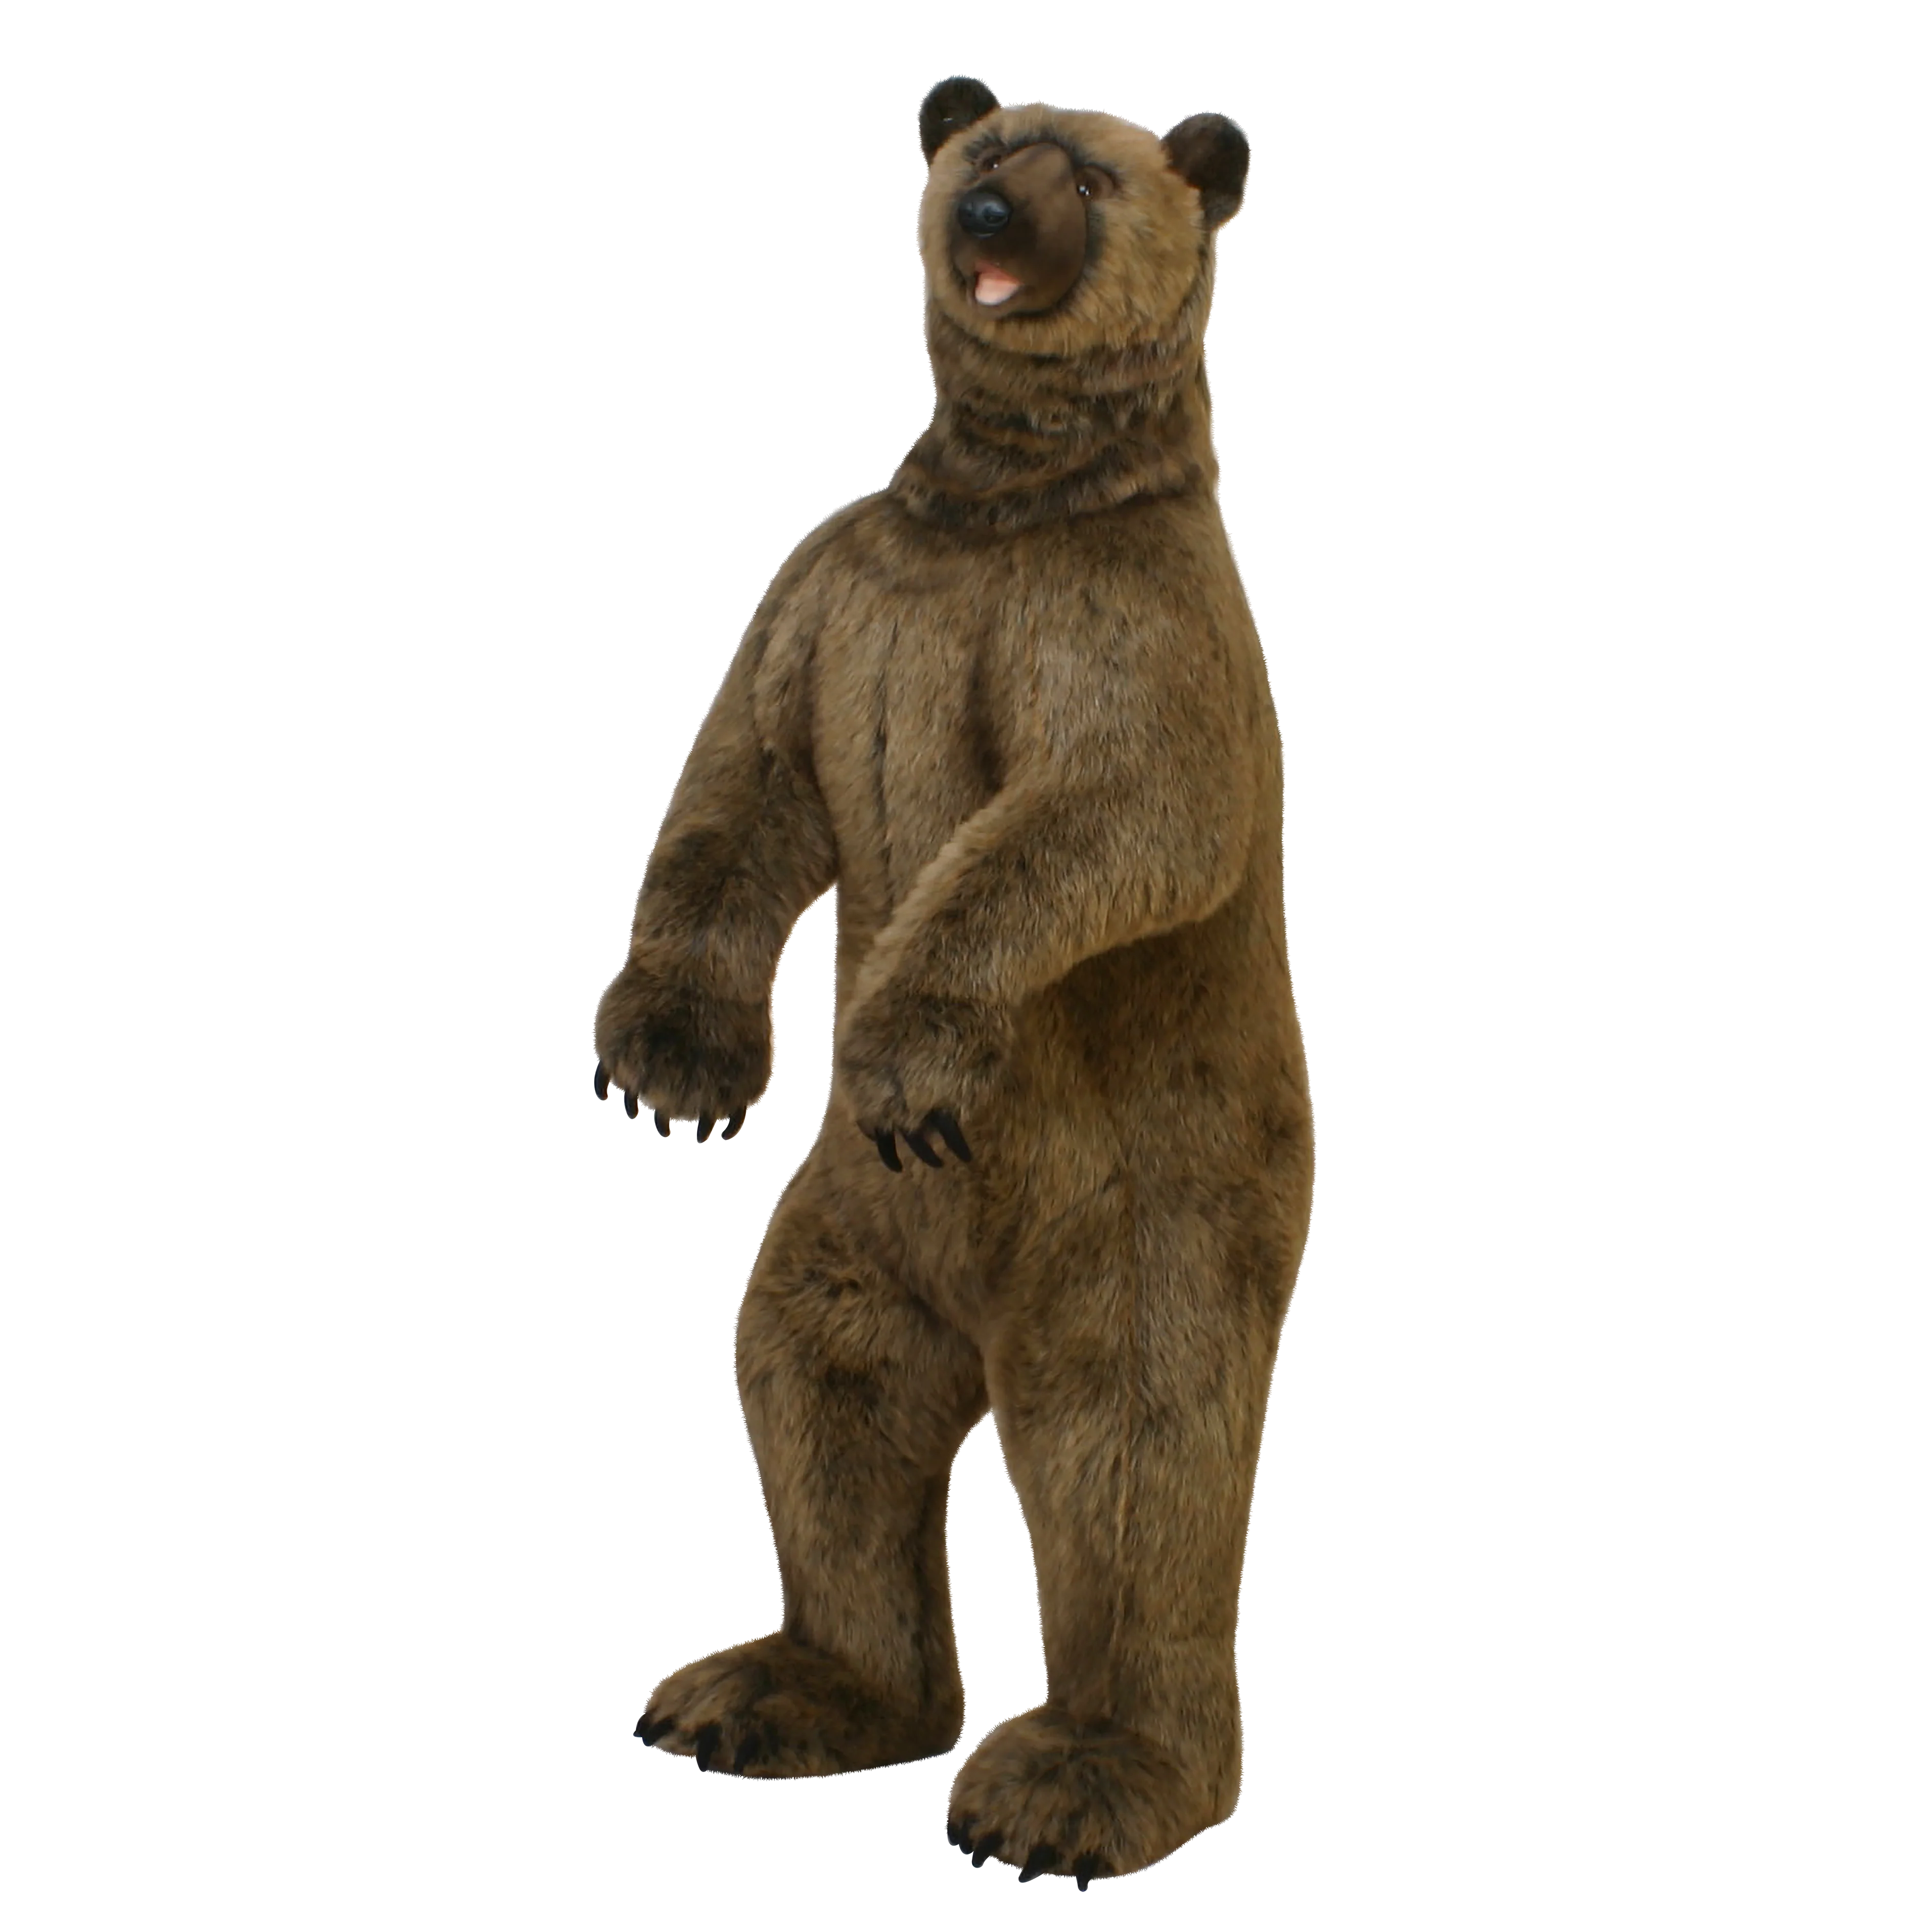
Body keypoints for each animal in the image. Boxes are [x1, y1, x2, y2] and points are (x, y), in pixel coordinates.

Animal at [593, 75, 1316, 1886]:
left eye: (1089, 175)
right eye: (986, 153)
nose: (994, 215)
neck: (1008, 496)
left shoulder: (1120, 617)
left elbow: (1109, 814)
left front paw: (908, 1043)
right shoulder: (844, 582)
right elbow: (742, 784)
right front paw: (667, 1065)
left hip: (1142, 1200)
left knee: (1137, 1447)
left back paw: (1069, 1778)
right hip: (851, 1222)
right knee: (812, 1387)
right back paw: (772, 1687)